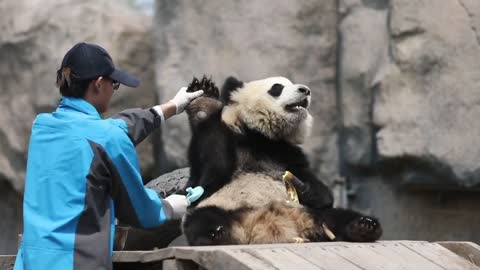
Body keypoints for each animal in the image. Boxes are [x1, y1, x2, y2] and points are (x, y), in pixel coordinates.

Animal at [180, 75, 382, 245]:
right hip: (223, 207)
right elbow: (210, 174)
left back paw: (364, 226)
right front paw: (205, 103)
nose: (305, 90)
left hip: (308, 211)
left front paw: (302, 187)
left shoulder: (287, 154)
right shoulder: (232, 142)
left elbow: (323, 195)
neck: (260, 137)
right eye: (277, 88)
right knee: (202, 219)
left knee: (336, 216)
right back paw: (216, 233)